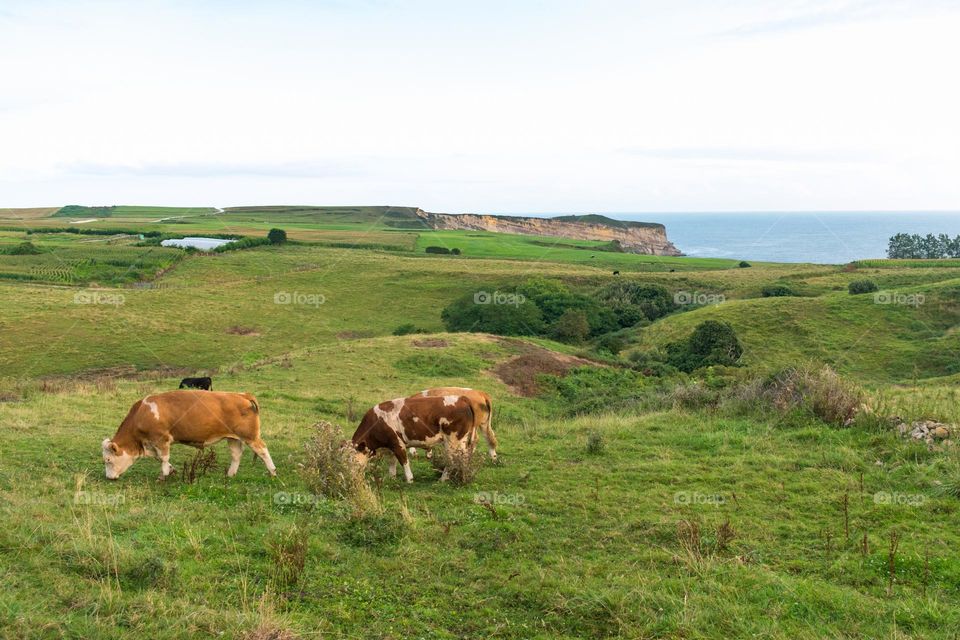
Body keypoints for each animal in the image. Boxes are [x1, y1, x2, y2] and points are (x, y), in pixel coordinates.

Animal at [101, 390, 276, 480]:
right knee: (236, 455)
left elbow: (163, 458)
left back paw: (272, 472)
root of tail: (242, 395)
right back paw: (230, 475)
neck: (142, 413)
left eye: (108, 460)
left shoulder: (162, 439)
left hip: (250, 437)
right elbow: (159, 458)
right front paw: (171, 470)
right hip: (233, 438)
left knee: (262, 450)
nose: (108, 477)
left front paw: (163, 475)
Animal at [350, 394, 481, 482]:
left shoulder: (398, 443)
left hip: (453, 440)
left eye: (352, 461)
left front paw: (409, 479)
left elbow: (404, 461)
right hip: (461, 440)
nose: (349, 477)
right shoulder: (389, 446)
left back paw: (444, 479)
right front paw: (391, 477)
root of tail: (461, 398)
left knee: (452, 459)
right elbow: (391, 462)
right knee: (463, 457)